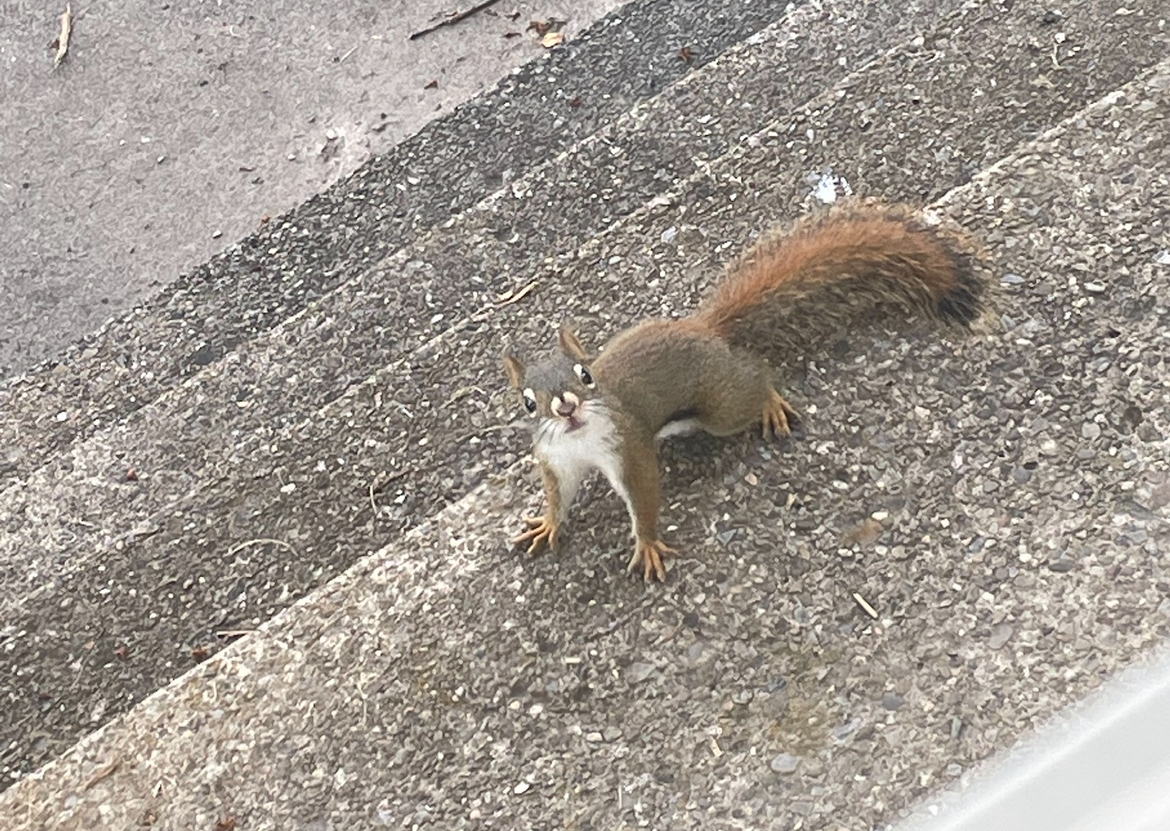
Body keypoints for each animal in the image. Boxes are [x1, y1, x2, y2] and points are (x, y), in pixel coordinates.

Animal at [502, 201, 986, 582]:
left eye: (586, 376)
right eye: (528, 402)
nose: (565, 407)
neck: (580, 439)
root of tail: (708, 330)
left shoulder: (629, 447)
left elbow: (644, 495)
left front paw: (648, 544)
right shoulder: (556, 460)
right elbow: (559, 496)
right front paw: (548, 525)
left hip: (722, 407)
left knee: (755, 379)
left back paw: (771, 403)